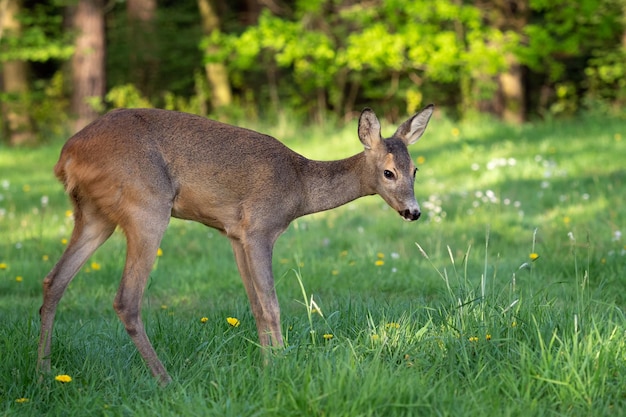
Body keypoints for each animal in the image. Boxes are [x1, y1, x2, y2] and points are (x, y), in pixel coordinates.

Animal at [36, 104, 432, 384]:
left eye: (415, 170)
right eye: (388, 172)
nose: (413, 212)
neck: (299, 187)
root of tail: (66, 155)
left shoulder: (234, 234)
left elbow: (255, 306)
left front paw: (267, 364)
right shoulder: (259, 227)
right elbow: (271, 305)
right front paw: (281, 366)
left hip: (94, 215)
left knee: (54, 281)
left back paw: (44, 373)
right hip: (146, 205)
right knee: (125, 299)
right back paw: (166, 380)